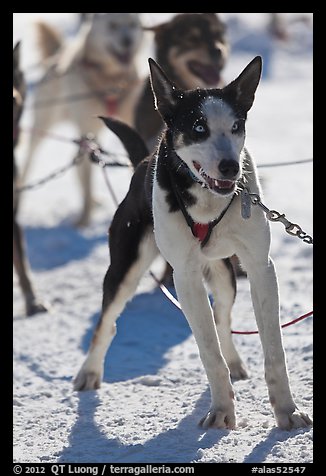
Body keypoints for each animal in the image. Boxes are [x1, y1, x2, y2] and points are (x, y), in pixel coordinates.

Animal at [73, 57, 310, 430]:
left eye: (236, 126)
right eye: (199, 127)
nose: (230, 167)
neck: (208, 199)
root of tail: (142, 163)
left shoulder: (260, 268)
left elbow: (272, 349)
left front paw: (286, 410)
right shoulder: (184, 277)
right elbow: (208, 351)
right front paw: (222, 410)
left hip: (224, 275)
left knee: (222, 317)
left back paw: (236, 362)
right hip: (125, 268)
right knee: (107, 322)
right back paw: (90, 371)